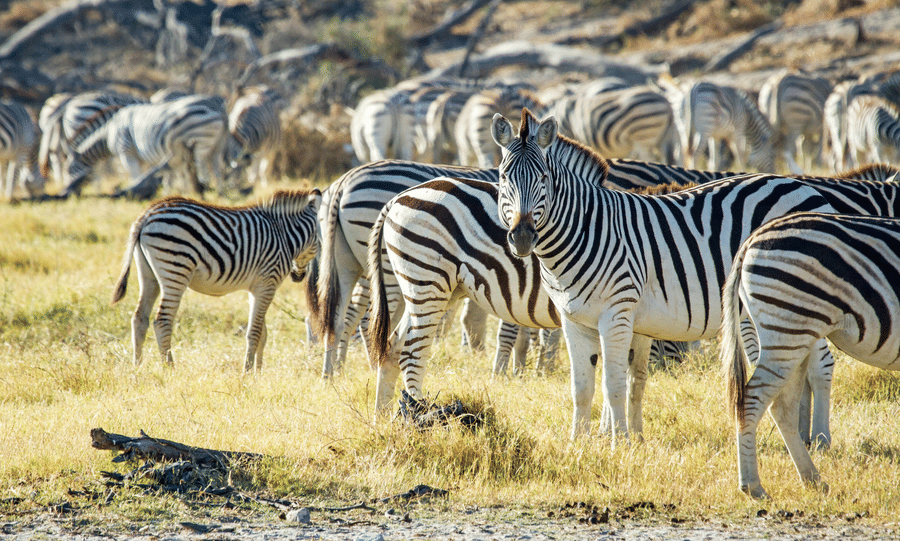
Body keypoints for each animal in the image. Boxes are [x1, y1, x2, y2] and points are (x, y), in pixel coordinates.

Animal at [66, 94, 228, 197]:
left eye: (68, 170)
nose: (67, 192)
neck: (108, 131)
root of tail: (218, 108)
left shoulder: (126, 151)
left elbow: (135, 176)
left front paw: (133, 193)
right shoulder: (165, 155)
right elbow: (171, 175)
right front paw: (174, 192)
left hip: (200, 143)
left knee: (204, 170)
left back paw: (204, 190)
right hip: (217, 144)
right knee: (216, 168)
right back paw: (219, 193)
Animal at [111, 189, 321, 371]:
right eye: (320, 242)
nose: (298, 277)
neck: (284, 234)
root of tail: (147, 214)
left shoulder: (257, 288)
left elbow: (262, 333)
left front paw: (258, 372)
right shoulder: (267, 283)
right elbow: (254, 333)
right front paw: (247, 373)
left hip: (149, 275)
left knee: (139, 319)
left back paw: (137, 367)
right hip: (175, 269)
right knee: (162, 321)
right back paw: (170, 369)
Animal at [489, 108, 900, 441]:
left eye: (543, 178)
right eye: (503, 177)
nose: (522, 236)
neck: (588, 229)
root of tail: (806, 188)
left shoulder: (618, 314)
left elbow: (614, 385)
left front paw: (617, 444)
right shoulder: (575, 320)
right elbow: (582, 388)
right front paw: (579, 445)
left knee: (820, 366)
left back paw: (819, 439)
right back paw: (801, 436)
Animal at [722, 212, 900, 498]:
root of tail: (750, 240)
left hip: (794, 336)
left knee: (782, 407)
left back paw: (812, 478)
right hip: (789, 328)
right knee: (750, 400)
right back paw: (753, 486)